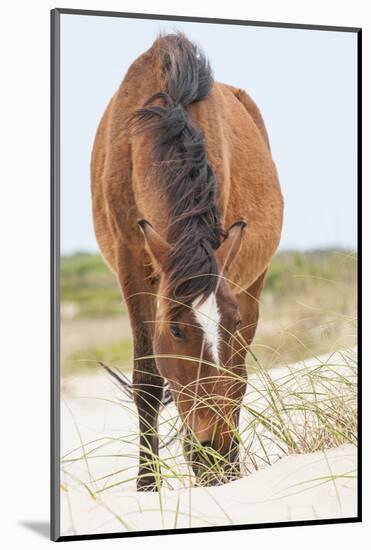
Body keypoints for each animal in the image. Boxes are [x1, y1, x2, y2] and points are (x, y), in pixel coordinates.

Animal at [91, 33, 284, 492]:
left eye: (229, 321)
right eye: (177, 330)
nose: (215, 451)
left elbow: (232, 376)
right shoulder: (131, 261)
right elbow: (147, 380)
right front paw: (147, 486)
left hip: (254, 282)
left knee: (240, 374)